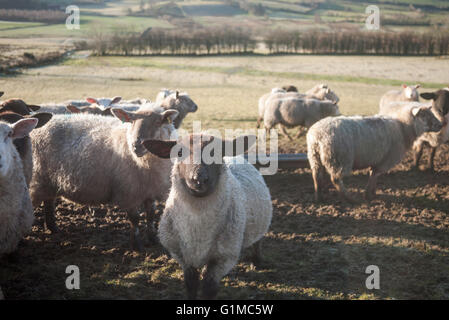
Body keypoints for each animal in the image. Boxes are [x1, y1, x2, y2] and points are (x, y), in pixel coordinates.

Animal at [28, 105, 180, 250]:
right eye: (131, 121)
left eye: (157, 122)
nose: (136, 146)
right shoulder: (128, 192)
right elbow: (135, 219)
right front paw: (137, 245)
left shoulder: (149, 190)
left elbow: (150, 215)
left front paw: (153, 239)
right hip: (37, 181)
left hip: (48, 182)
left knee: (49, 202)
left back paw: (53, 228)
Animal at [144, 134, 272, 298]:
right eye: (179, 152)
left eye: (217, 152)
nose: (199, 179)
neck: (199, 230)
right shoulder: (181, 255)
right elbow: (190, 284)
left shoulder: (223, 258)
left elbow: (209, 288)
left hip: (260, 223)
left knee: (257, 241)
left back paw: (256, 262)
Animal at [308, 103, 440, 202]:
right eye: (425, 115)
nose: (440, 124)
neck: (403, 127)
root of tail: (318, 136)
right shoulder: (386, 160)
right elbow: (374, 175)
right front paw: (368, 195)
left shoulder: (379, 160)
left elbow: (374, 175)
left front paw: (373, 192)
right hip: (339, 158)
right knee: (335, 179)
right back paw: (350, 198)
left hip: (315, 157)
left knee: (316, 176)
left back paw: (318, 197)